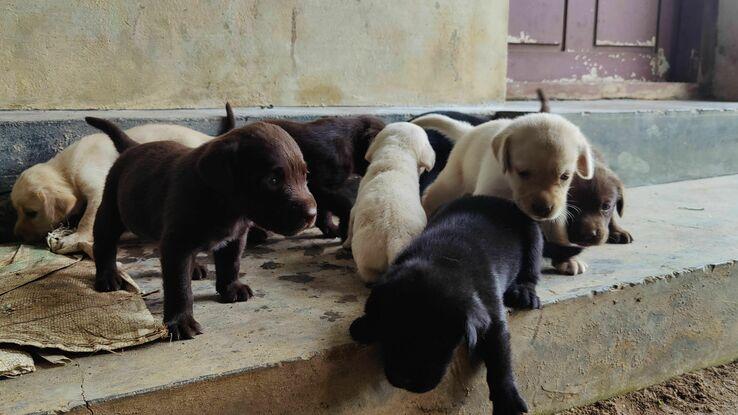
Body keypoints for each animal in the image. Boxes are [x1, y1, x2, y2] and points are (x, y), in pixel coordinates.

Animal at [11, 104, 234, 256]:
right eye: (18, 212)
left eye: (31, 213)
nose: (18, 236)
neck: (66, 169)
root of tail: (209, 139)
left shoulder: (97, 188)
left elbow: (87, 220)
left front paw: (74, 238)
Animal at [87, 117, 316, 342]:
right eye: (273, 180)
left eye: (305, 175)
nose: (312, 214)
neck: (223, 204)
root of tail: (133, 147)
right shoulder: (177, 246)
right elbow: (180, 286)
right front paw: (180, 322)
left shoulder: (235, 238)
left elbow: (231, 264)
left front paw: (231, 288)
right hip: (111, 209)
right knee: (104, 244)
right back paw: (108, 277)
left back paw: (195, 268)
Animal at [342, 122, 434, 284]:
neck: (397, 154)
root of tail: (394, 241)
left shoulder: (354, 208)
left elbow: (350, 225)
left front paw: (345, 243)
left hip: (365, 254)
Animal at [350, 197, 540, 414]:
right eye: (389, 331)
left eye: (439, 342)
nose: (404, 380)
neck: (442, 259)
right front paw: (365, 325)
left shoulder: (493, 321)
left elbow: (500, 360)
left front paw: (507, 401)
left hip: (534, 237)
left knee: (531, 270)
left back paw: (524, 293)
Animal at [412, 109, 596, 221]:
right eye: (523, 173)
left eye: (565, 176)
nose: (543, 209)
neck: (510, 186)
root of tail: (469, 131)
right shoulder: (488, 190)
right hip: (452, 181)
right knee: (431, 196)